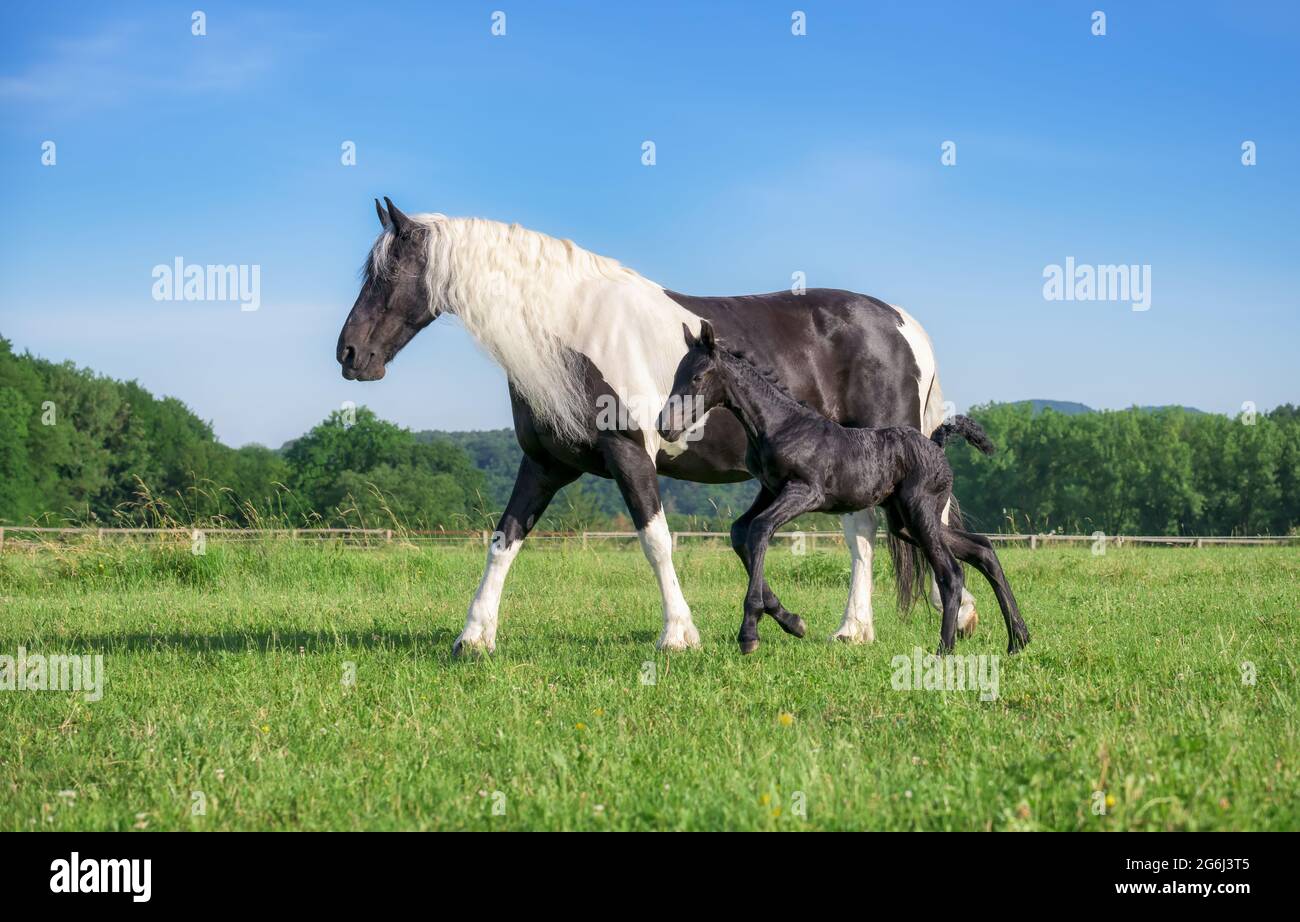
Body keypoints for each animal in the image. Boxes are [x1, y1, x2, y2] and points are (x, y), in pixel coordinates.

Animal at [665, 322, 1029, 655]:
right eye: (676, 374)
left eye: (697, 377)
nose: (664, 427)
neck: (780, 425)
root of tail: (936, 443)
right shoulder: (769, 490)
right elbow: (741, 531)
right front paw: (792, 622)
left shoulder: (804, 491)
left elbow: (760, 529)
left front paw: (750, 632)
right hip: (904, 523)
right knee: (983, 550)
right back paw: (1018, 640)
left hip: (920, 512)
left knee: (952, 573)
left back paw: (945, 649)